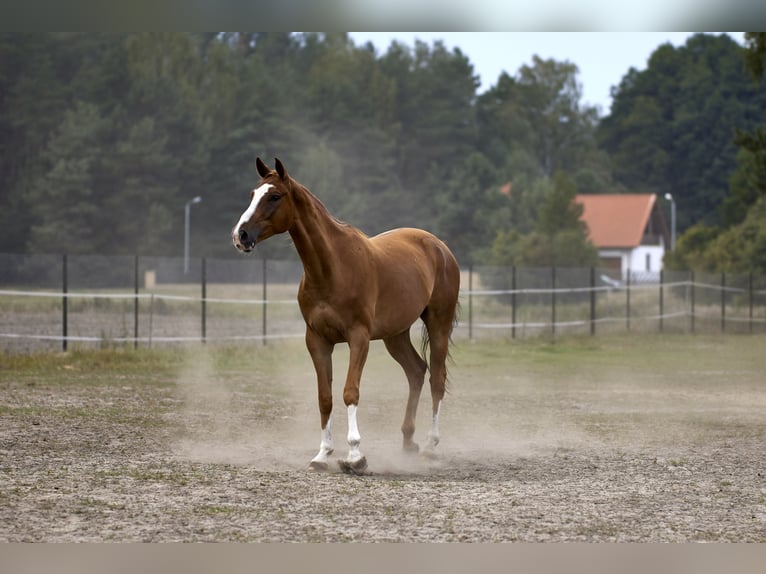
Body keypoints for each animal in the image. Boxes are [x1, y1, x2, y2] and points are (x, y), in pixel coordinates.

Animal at [232, 158, 462, 472]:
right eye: (252, 194)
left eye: (275, 196)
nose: (240, 235)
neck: (333, 267)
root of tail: (440, 247)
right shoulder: (317, 341)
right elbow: (325, 398)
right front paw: (322, 454)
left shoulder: (358, 338)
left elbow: (349, 391)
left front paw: (354, 456)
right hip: (395, 335)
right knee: (416, 371)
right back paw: (407, 441)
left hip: (438, 323)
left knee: (436, 378)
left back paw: (429, 445)